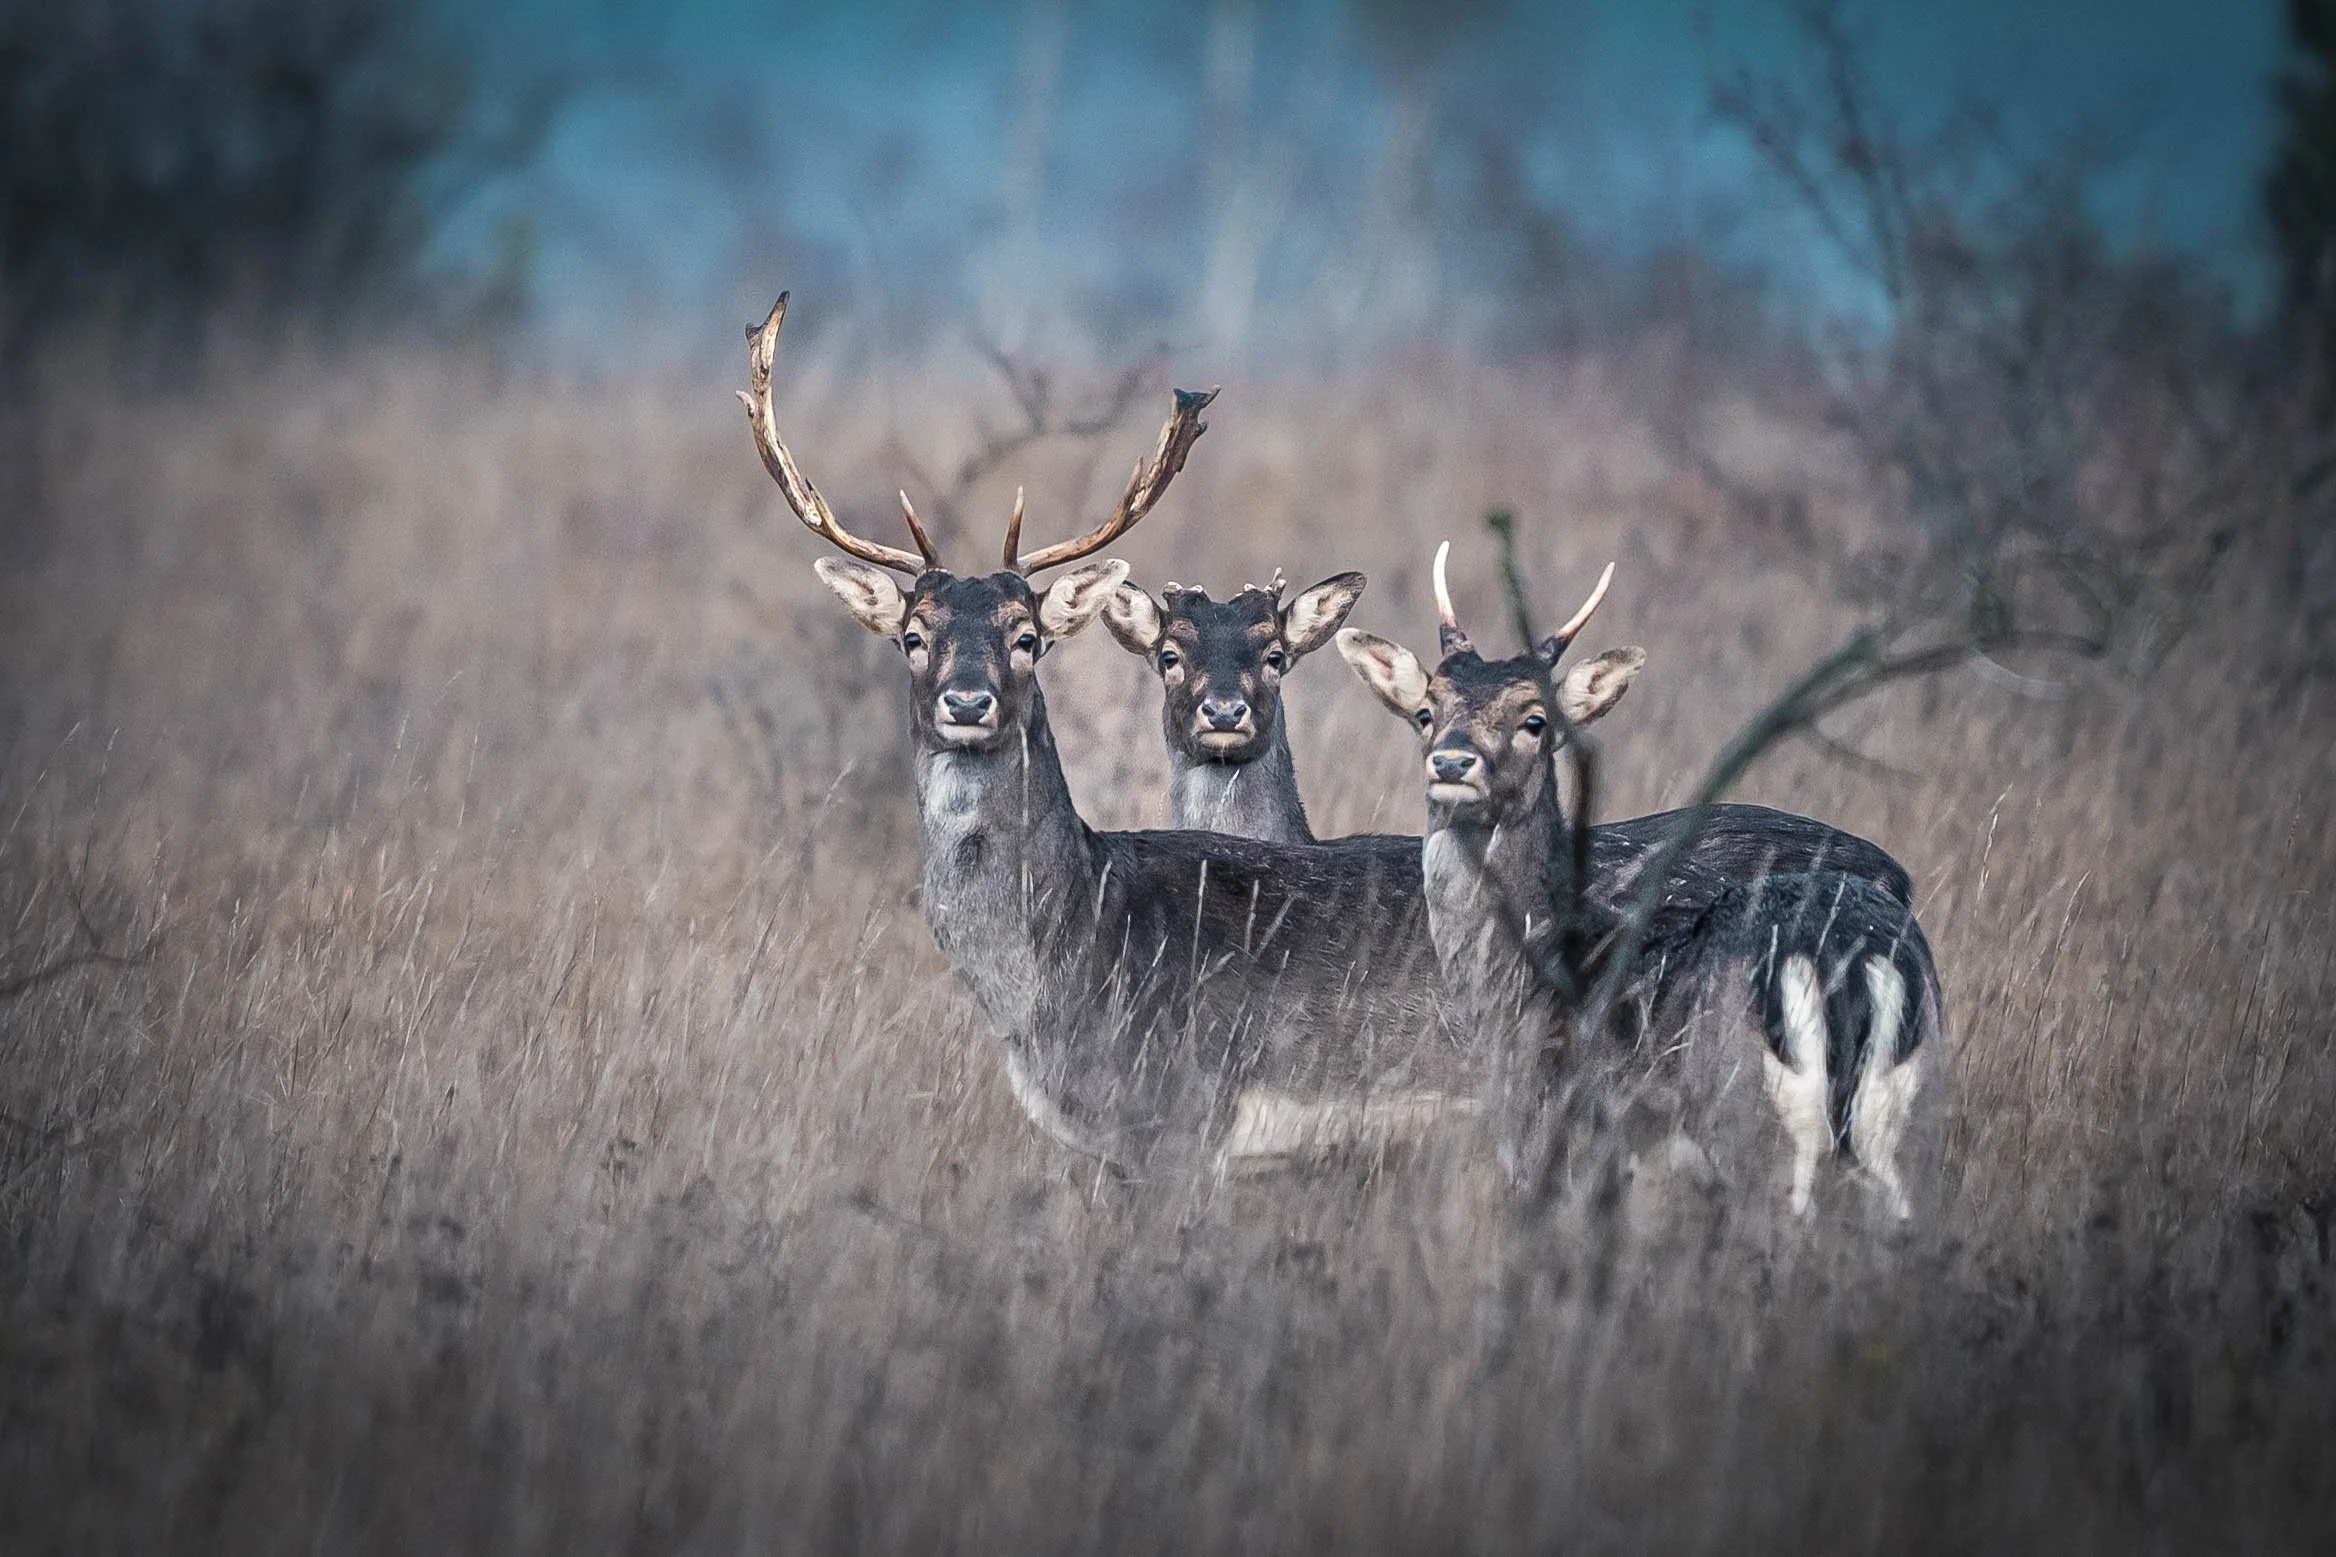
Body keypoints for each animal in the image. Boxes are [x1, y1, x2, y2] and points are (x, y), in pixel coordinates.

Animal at [1336, 545, 1943, 1222]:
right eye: (1426, 711)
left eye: (1535, 720)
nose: (1452, 761)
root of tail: (1846, 963)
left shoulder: (1560, 1130)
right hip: (1911, 1106)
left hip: (1745, 1116)